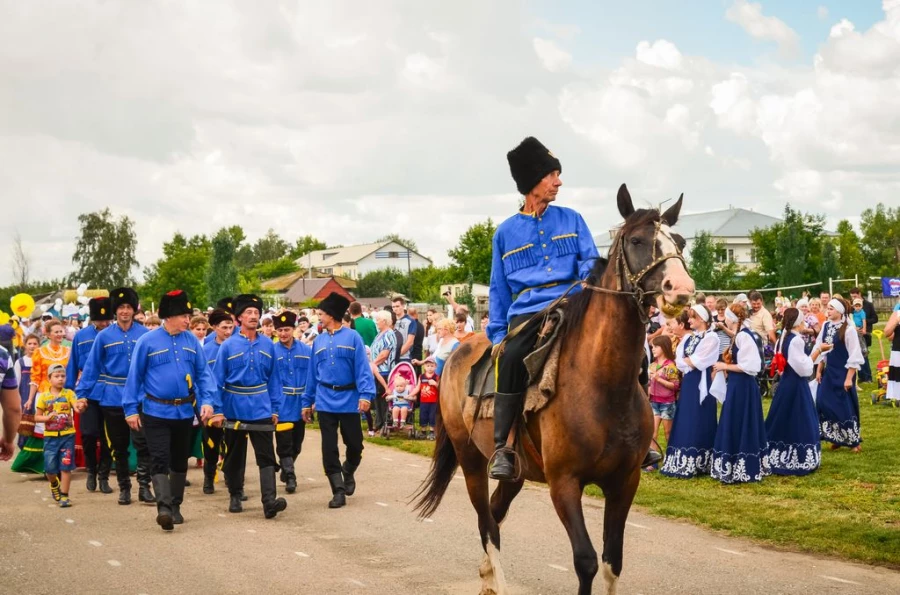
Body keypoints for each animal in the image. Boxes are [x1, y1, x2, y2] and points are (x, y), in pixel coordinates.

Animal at [414, 186, 696, 595]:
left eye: (680, 242)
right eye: (637, 241)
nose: (682, 290)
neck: (603, 386)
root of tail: (458, 350)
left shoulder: (625, 481)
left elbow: (612, 562)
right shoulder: (564, 484)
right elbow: (586, 561)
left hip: (516, 473)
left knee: (495, 515)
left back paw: (486, 576)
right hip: (471, 461)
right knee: (486, 522)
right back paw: (496, 582)